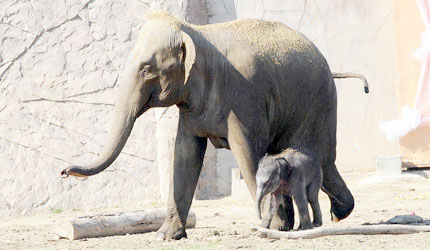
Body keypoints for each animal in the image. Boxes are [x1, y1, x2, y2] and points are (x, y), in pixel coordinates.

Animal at [61, 11, 356, 240]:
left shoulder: (244, 98)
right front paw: (165, 236)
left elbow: (247, 156)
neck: (196, 32)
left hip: (317, 108)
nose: (63, 172)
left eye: (146, 69)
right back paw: (339, 214)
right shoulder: (191, 105)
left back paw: (331, 216)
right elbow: (184, 155)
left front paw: (270, 228)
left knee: (319, 159)